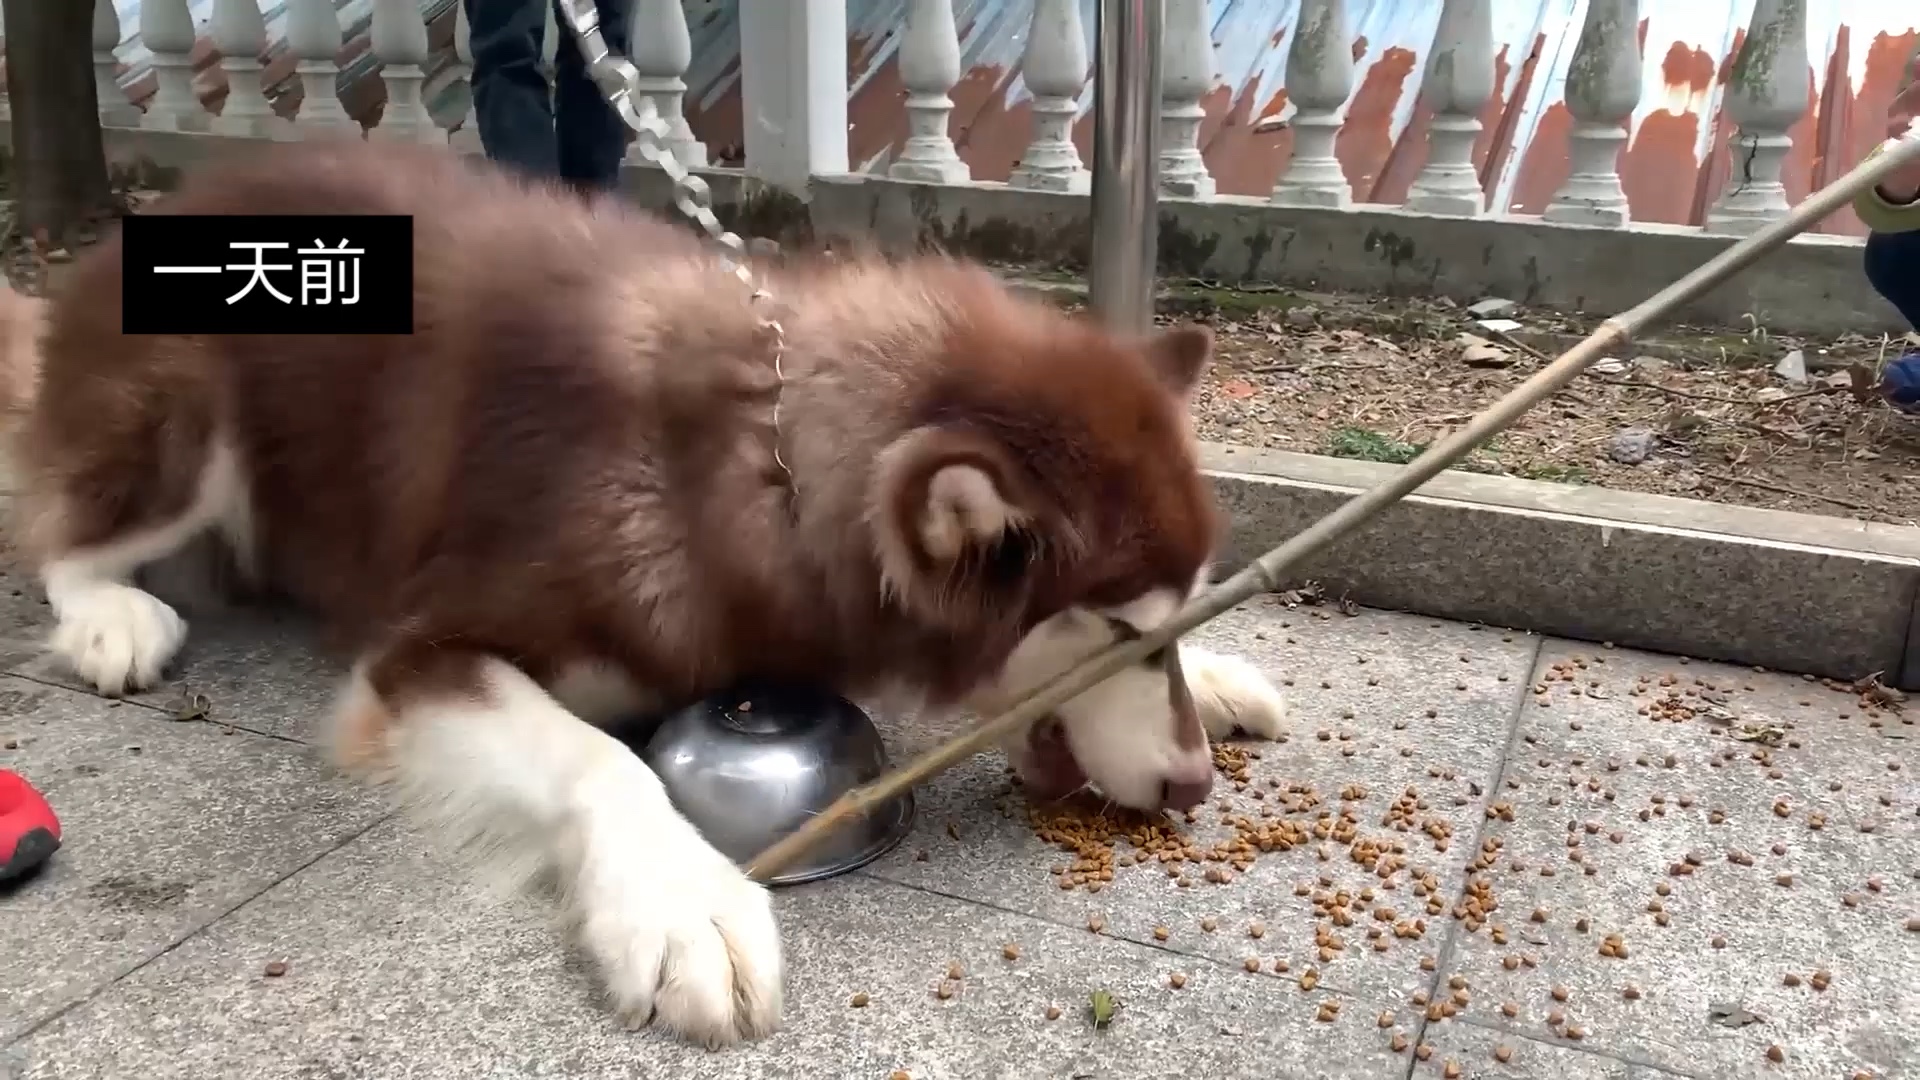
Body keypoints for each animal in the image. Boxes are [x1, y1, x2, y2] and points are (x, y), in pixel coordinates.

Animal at [7, 141, 1290, 1045]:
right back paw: (110, 616)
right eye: (1112, 630)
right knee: (62, 533)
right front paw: (683, 902)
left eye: (1172, 620)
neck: (763, 465)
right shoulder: (426, 652)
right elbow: (597, 758)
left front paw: (1223, 675)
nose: (1192, 786)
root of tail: (159, 208)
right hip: (185, 418)